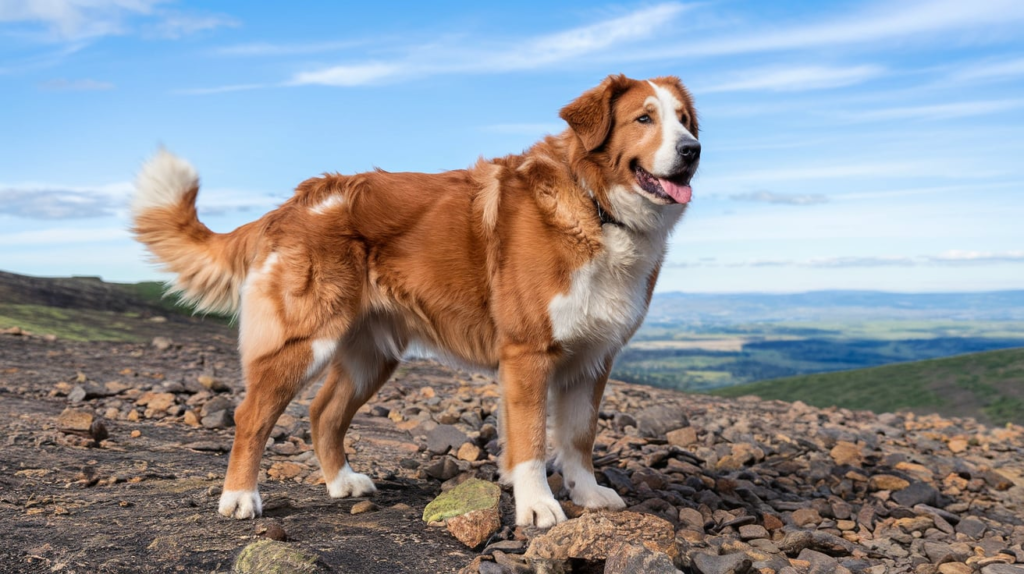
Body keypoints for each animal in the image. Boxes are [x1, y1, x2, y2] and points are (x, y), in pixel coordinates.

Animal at [132, 73, 696, 527]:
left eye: (686, 121)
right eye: (644, 118)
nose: (692, 150)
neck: (594, 203)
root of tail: (297, 201)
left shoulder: (591, 359)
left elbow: (577, 439)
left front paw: (587, 493)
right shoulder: (529, 354)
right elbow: (534, 442)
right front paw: (538, 506)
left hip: (371, 355)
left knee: (323, 414)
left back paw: (341, 482)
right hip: (305, 339)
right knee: (252, 416)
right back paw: (240, 498)